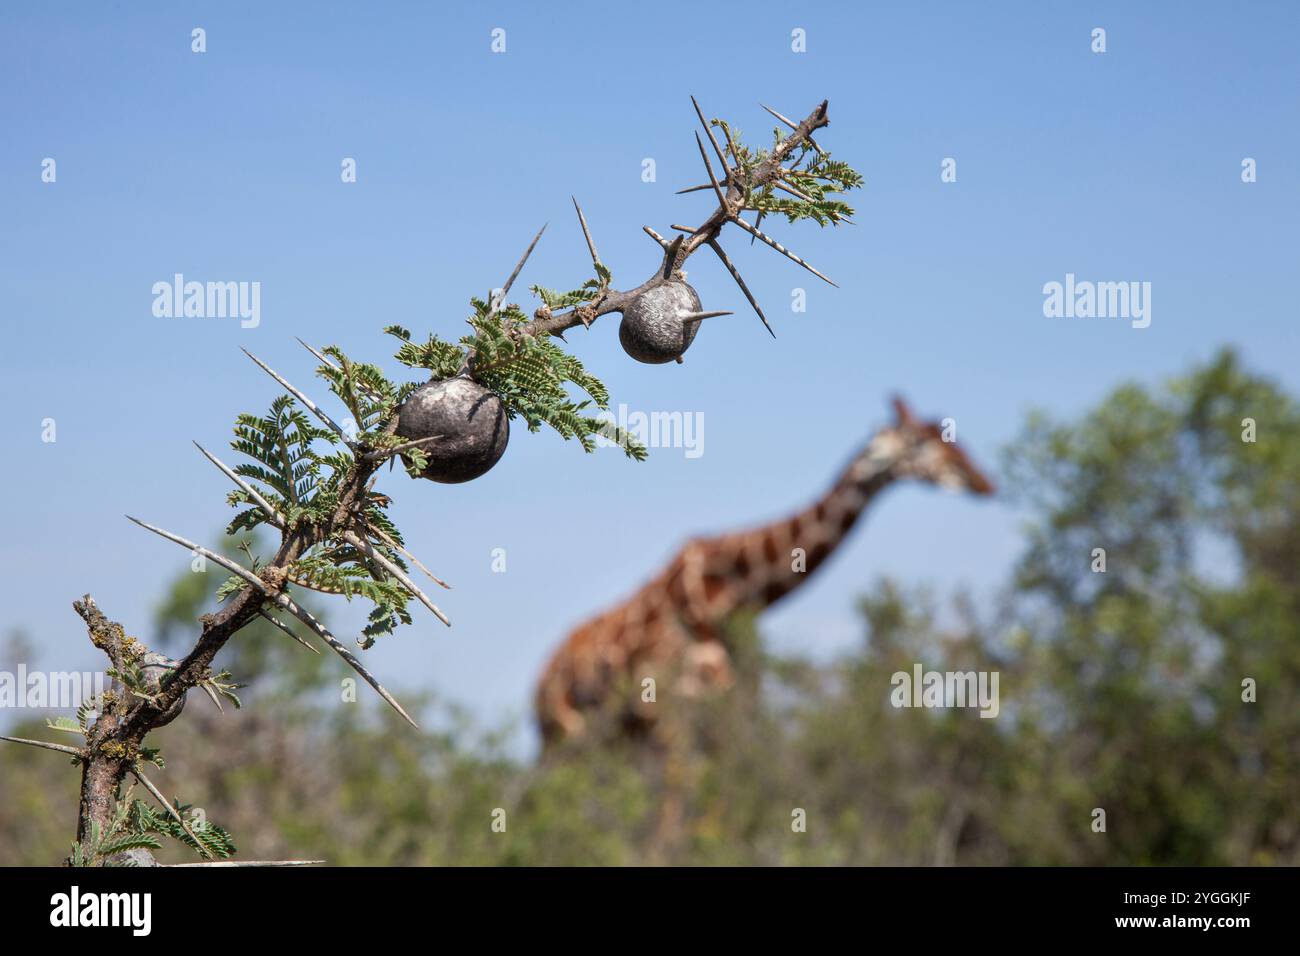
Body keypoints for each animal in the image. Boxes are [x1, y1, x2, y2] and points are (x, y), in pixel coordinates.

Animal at [534, 396, 996, 748]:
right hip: (563, 734)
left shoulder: (731, 706)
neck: (733, 594)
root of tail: (539, 681)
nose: (984, 482)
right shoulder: (672, 712)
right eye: (919, 442)